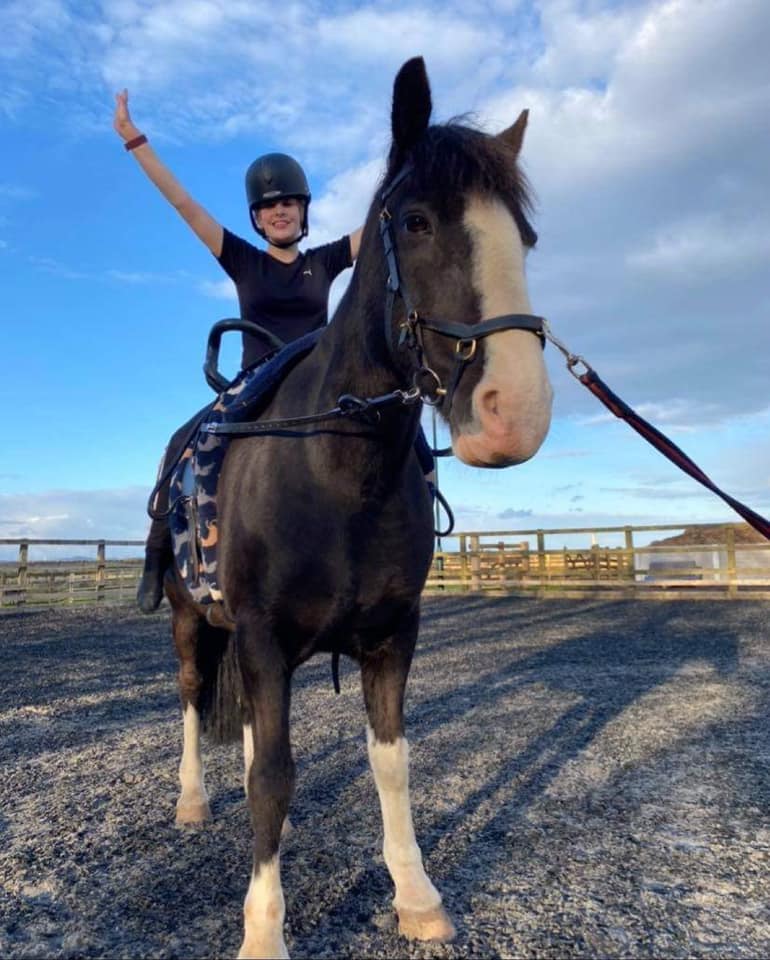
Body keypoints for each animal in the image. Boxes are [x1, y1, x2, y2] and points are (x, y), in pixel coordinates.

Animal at [166, 56, 552, 956]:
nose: (514, 412)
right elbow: (272, 776)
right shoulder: (262, 636)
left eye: (525, 238)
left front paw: (415, 895)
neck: (338, 473)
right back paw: (194, 801)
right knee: (197, 695)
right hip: (192, 619)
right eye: (414, 221)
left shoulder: (390, 636)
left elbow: (389, 761)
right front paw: (264, 932)